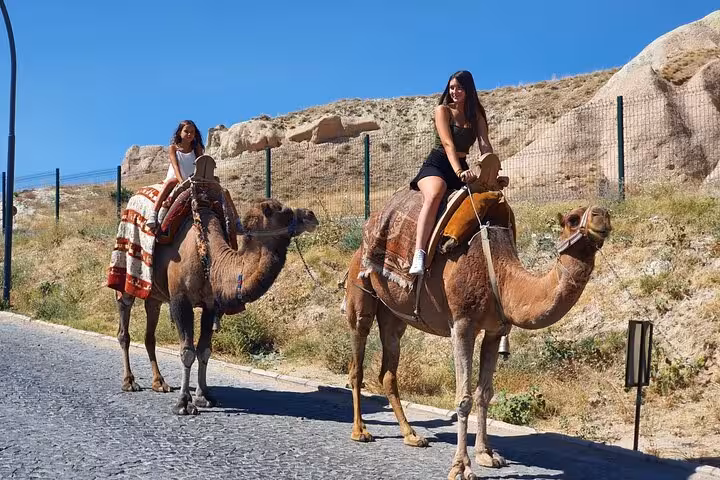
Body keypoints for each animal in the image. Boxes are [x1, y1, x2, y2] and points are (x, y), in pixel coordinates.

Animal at [115, 188, 318, 415]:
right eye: (285, 211)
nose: (311, 215)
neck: (210, 259)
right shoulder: (180, 300)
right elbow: (187, 351)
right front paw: (183, 403)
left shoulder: (210, 305)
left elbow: (204, 350)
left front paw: (204, 397)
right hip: (125, 278)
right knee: (124, 326)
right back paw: (129, 382)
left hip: (154, 296)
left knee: (150, 333)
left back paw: (160, 383)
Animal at [344, 202, 611, 480]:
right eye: (572, 219)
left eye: (606, 214)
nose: (602, 215)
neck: (502, 276)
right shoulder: (462, 324)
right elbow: (464, 399)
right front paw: (461, 467)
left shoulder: (494, 331)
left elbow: (485, 393)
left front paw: (487, 454)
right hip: (360, 291)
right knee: (357, 358)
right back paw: (360, 431)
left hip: (394, 315)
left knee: (388, 369)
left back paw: (411, 435)